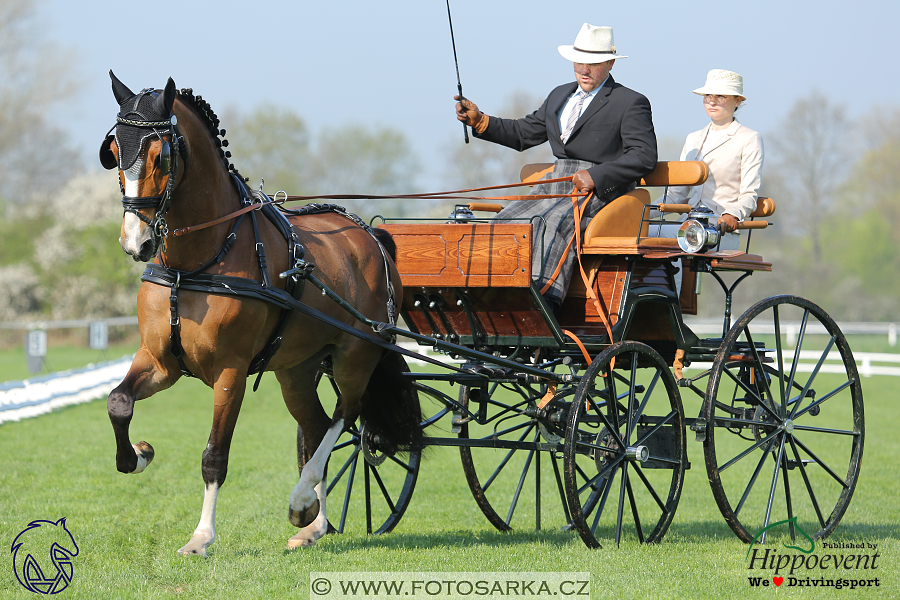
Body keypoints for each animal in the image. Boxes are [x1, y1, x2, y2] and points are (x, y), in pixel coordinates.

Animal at [100, 72, 424, 556]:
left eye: (162, 155)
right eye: (115, 151)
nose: (135, 241)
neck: (195, 264)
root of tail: (371, 237)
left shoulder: (230, 371)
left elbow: (214, 456)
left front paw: (201, 537)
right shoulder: (160, 360)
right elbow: (118, 403)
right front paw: (138, 455)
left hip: (354, 356)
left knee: (346, 416)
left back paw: (301, 500)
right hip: (296, 369)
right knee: (318, 428)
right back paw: (312, 524)